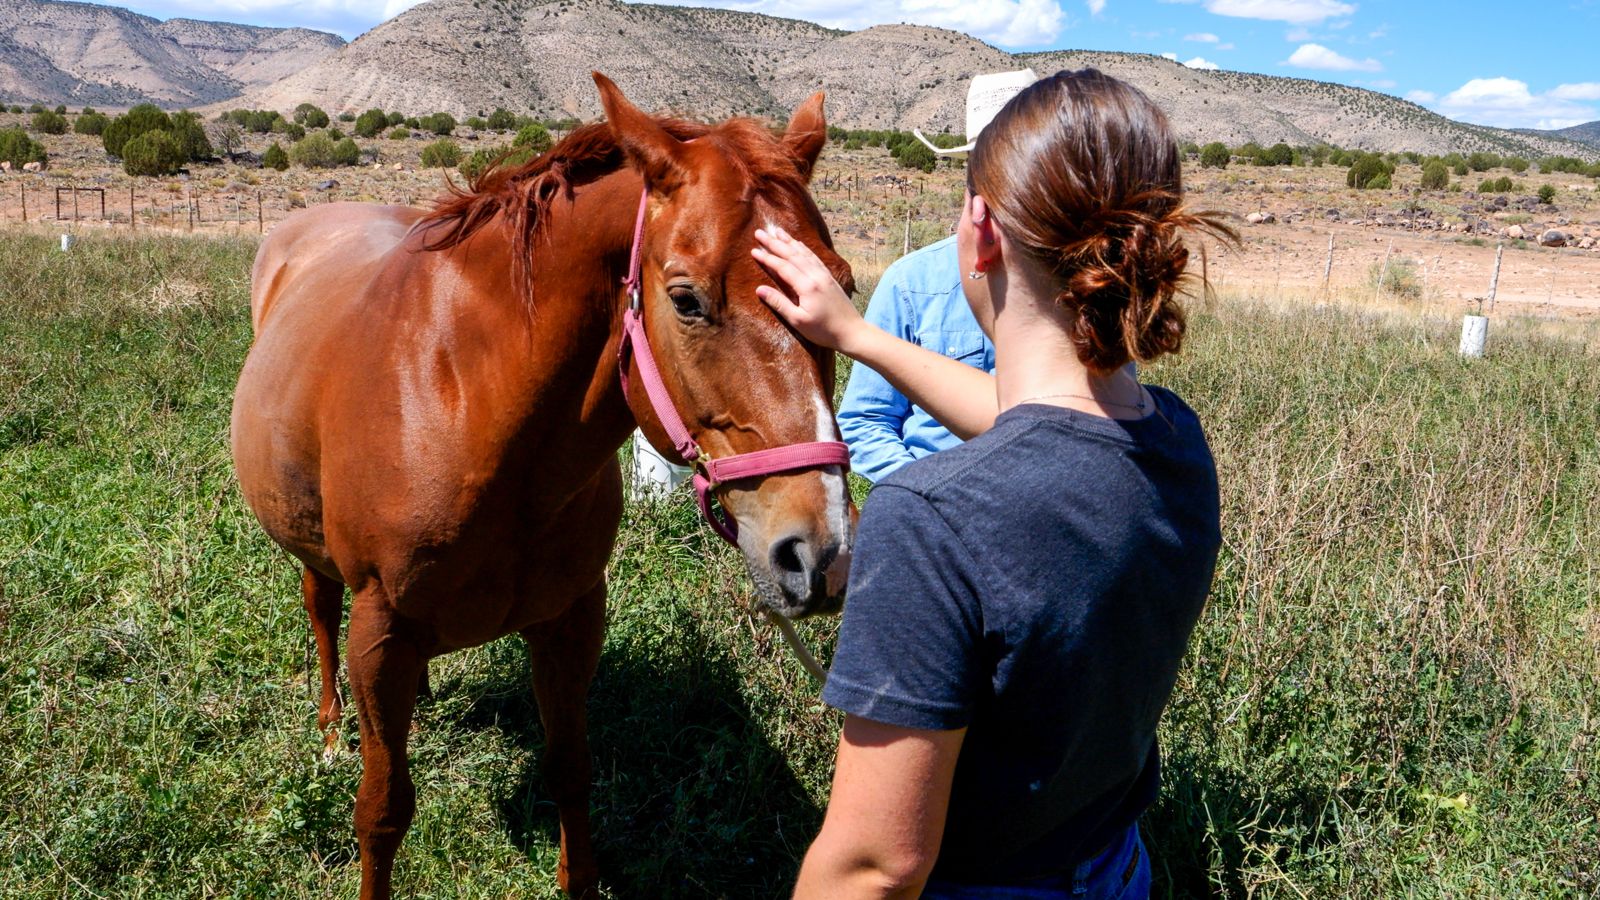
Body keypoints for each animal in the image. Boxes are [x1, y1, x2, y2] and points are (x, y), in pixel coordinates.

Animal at [230, 72, 856, 898]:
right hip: (317, 562)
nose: (820, 553)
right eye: (686, 298)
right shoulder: (381, 630)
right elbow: (383, 809)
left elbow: (570, 771)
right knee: (319, 614)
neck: (464, 402)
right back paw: (334, 732)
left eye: (840, 288)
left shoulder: (569, 618)